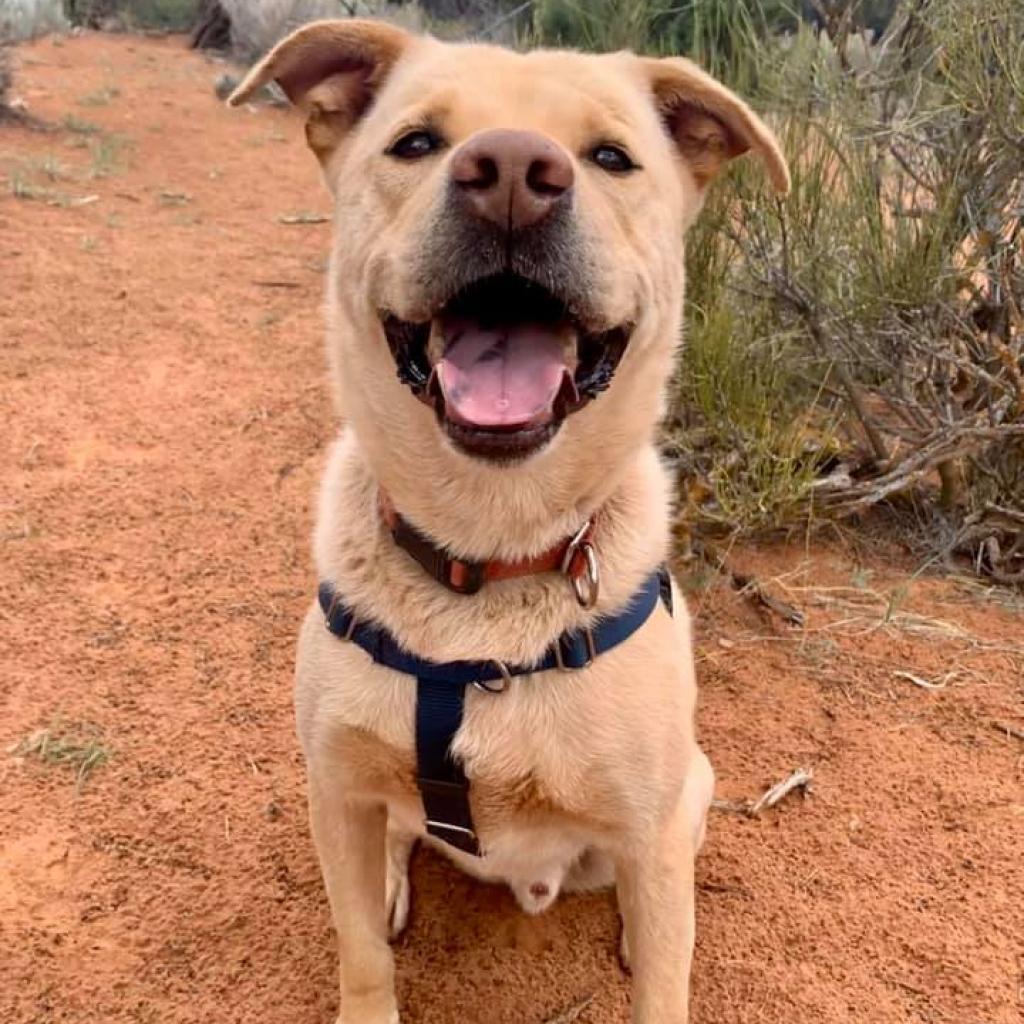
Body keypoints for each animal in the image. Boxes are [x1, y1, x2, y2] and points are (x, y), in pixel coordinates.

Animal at [232, 19, 786, 1019]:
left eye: (612, 158)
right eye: (415, 142)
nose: (516, 174)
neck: (486, 553)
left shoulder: (650, 822)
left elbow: (665, 978)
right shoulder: (334, 789)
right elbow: (359, 951)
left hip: (689, 791)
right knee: (393, 848)